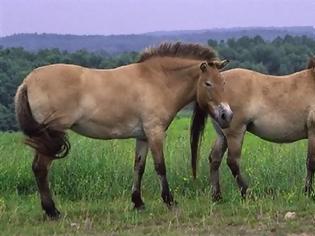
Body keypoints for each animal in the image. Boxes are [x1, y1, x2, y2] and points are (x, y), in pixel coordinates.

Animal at [14, 42, 232, 219]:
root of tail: (27, 81)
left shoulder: (143, 136)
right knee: (41, 169)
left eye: (223, 83)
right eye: (208, 83)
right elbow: (160, 167)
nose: (226, 115)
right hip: (51, 136)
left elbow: (139, 167)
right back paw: (52, 211)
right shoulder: (155, 132)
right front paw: (170, 202)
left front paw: (138, 202)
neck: (158, 80)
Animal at [191, 57, 315, 201]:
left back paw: (217, 196)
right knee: (232, 162)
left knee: (214, 159)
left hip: (222, 135)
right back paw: (247, 193)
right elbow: (311, 162)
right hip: (235, 133)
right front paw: (308, 192)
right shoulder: (313, 132)